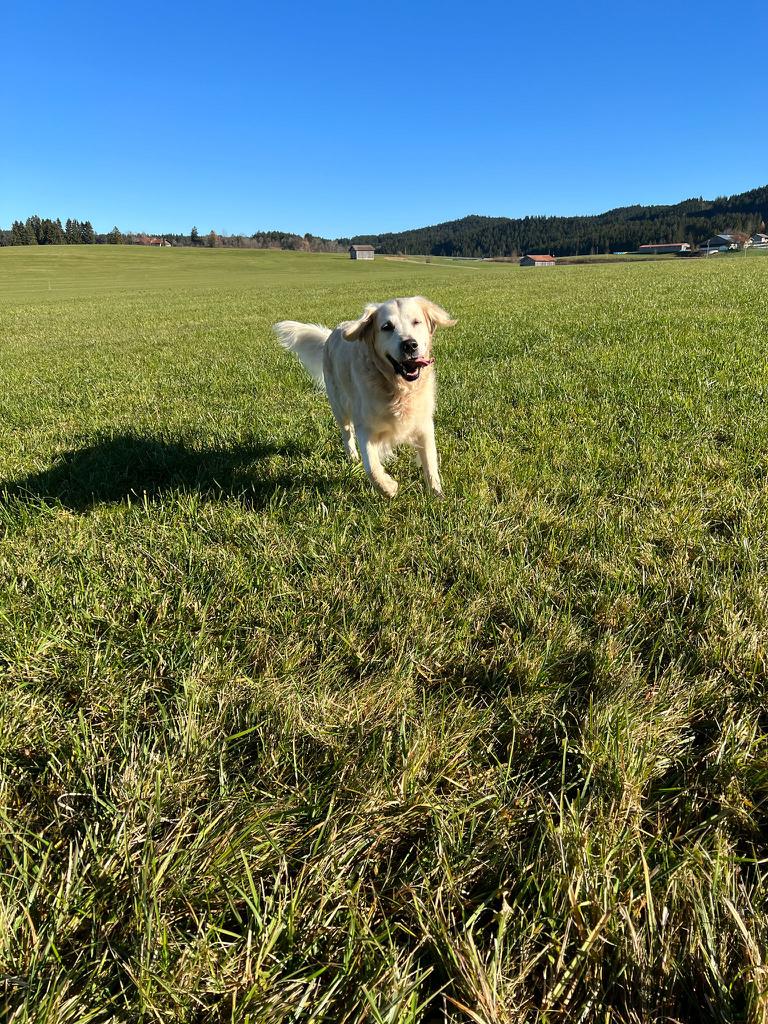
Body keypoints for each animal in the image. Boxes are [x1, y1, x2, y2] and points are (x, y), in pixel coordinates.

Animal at [276, 296, 456, 495]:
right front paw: (389, 487)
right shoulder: (365, 426)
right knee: (347, 434)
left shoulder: (423, 423)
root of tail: (332, 334)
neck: (397, 389)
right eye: (387, 327)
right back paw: (353, 457)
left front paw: (437, 494)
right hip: (339, 407)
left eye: (417, 322)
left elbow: (430, 463)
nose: (410, 344)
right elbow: (371, 467)